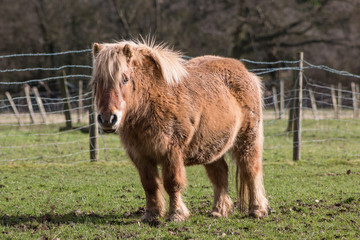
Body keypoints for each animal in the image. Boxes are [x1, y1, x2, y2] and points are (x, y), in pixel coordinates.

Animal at [91, 39, 268, 223]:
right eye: (96, 82)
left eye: (125, 79)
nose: (107, 118)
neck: (149, 103)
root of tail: (247, 73)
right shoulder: (141, 156)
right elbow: (149, 184)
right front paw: (151, 215)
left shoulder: (171, 152)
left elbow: (172, 182)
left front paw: (176, 214)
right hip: (212, 148)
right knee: (220, 175)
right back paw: (219, 211)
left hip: (248, 141)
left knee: (251, 171)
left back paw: (257, 210)